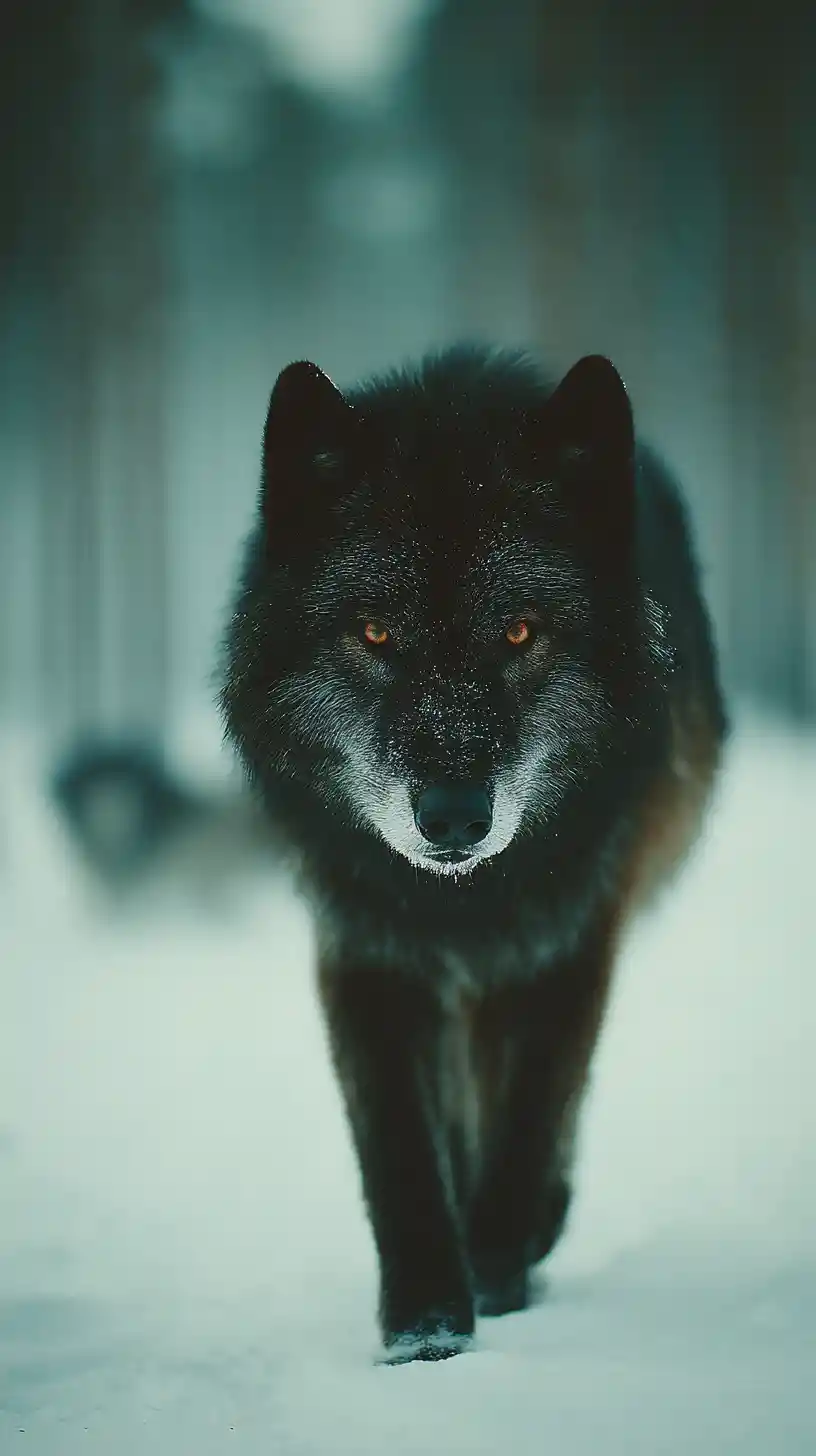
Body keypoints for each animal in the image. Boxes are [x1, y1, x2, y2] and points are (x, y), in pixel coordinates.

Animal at [220, 345, 727, 1362]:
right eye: (375, 633)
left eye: (519, 631)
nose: (452, 818)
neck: (462, 898)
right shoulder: (369, 950)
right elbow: (400, 1149)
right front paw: (425, 1327)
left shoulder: (566, 942)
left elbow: (533, 1113)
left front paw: (497, 1268)